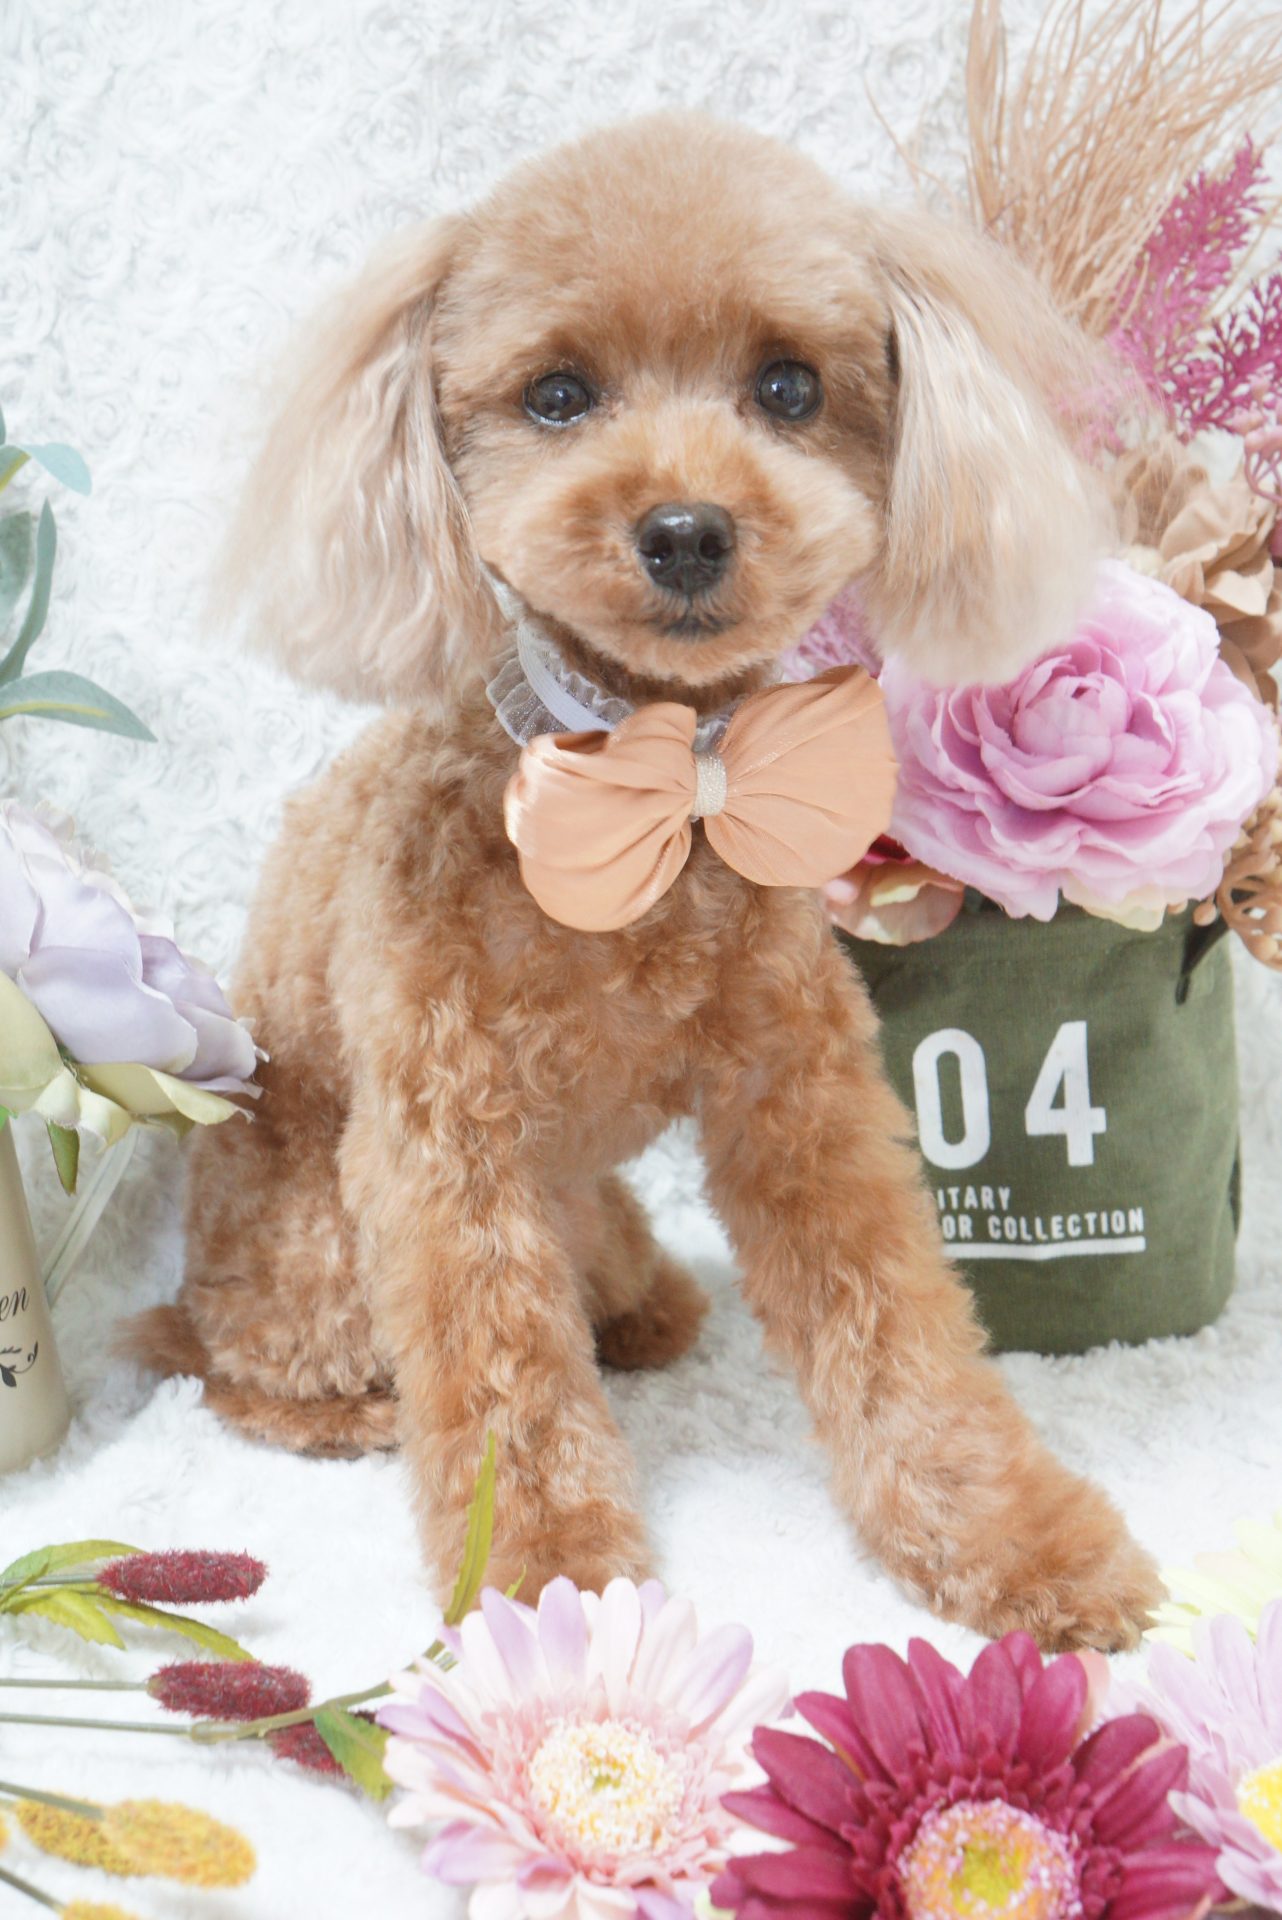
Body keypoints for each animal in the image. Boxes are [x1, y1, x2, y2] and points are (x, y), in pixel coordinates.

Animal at [133, 111, 1161, 1648]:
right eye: (558, 395)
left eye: (788, 386)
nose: (684, 530)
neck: (661, 780)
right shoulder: (447, 1154)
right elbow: (505, 1397)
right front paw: (549, 1603)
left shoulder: (798, 1104)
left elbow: (901, 1339)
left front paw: (1015, 1538)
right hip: (320, 1262)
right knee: (250, 1372)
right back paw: (346, 1415)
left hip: (594, 1218)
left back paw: (655, 1317)